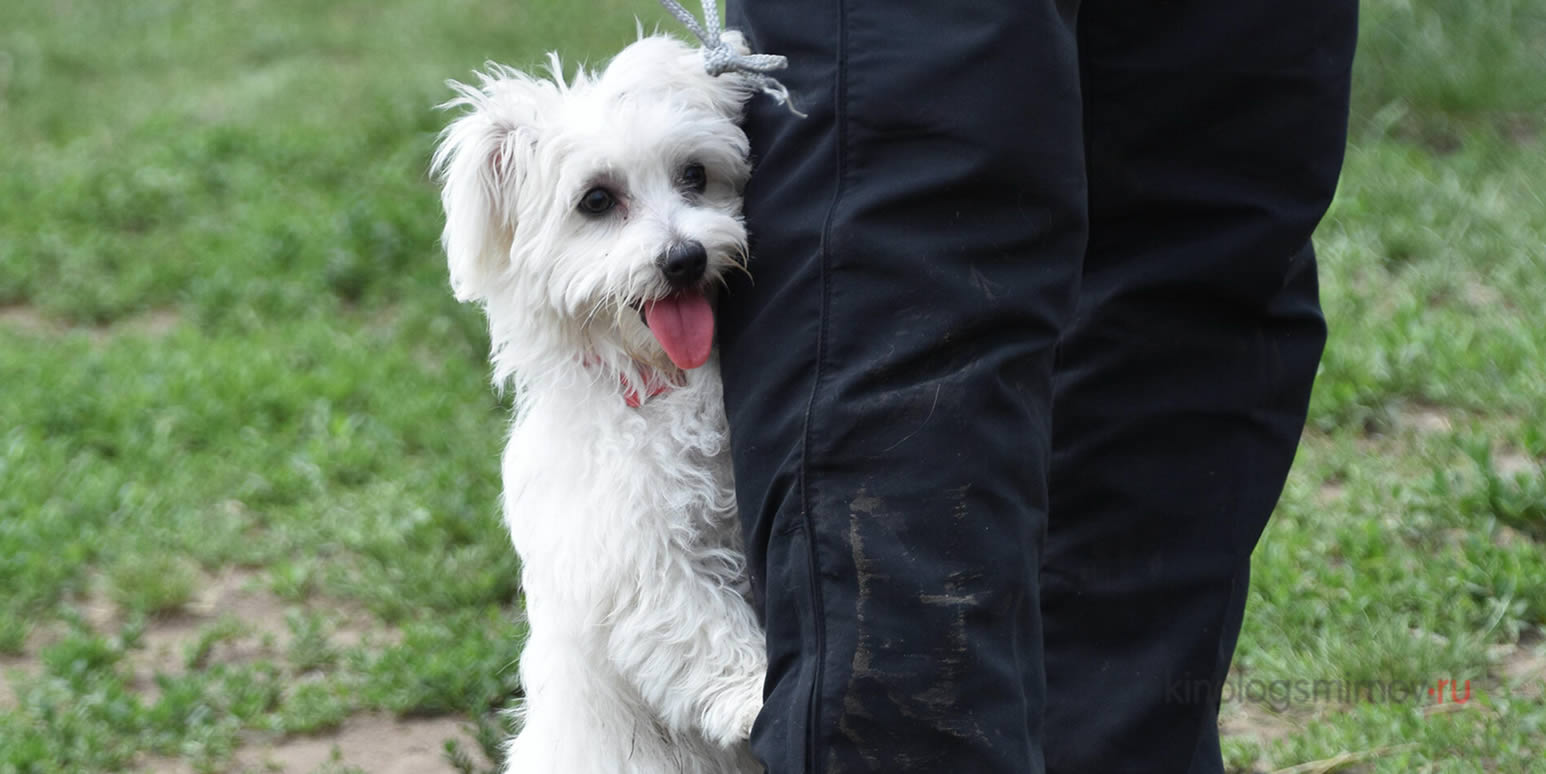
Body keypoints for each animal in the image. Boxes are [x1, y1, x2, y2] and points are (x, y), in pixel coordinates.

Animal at [432, 33, 769, 772]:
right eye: (595, 200)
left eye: (695, 175)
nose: (684, 258)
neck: (664, 385)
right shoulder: (631, 553)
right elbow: (696, 622)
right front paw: (755, 693)